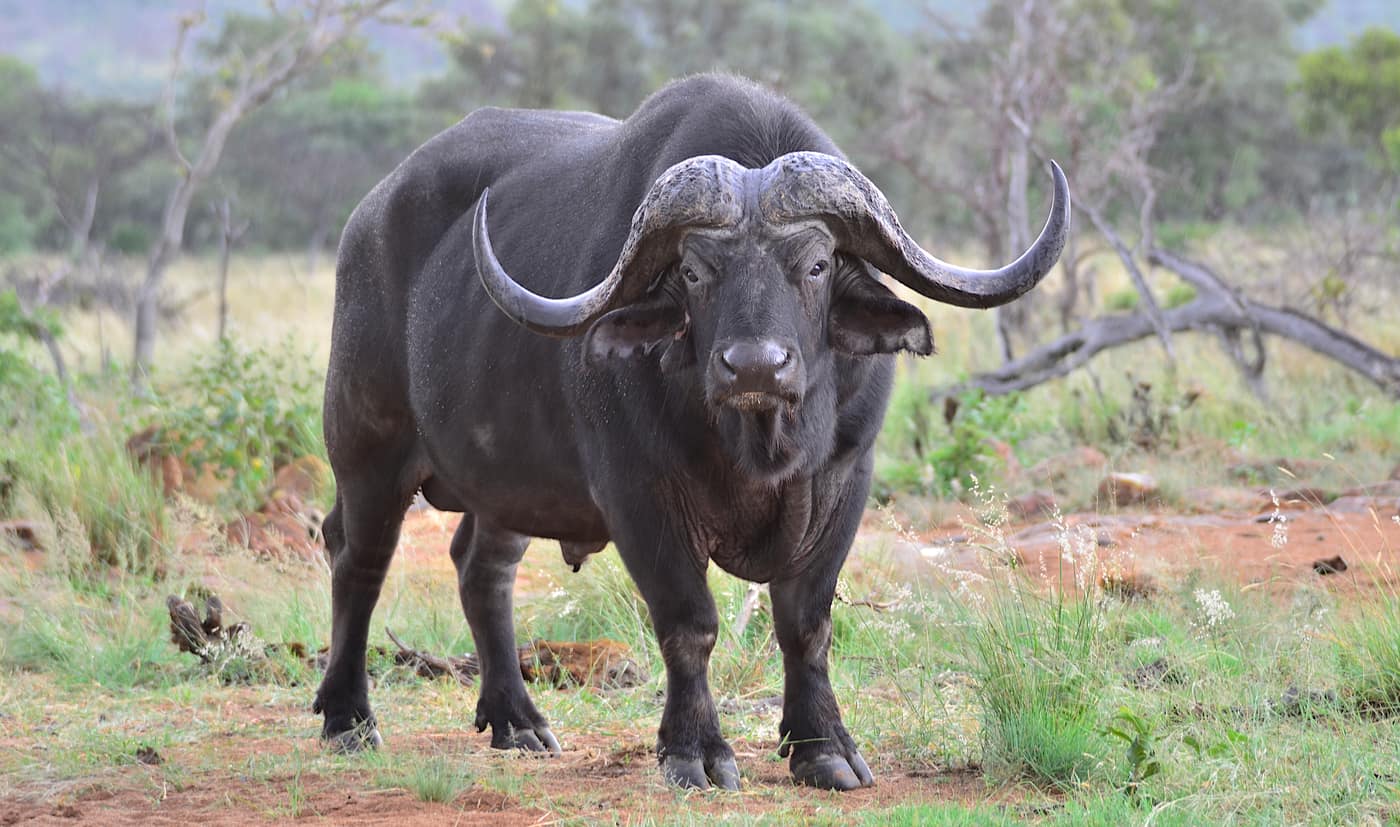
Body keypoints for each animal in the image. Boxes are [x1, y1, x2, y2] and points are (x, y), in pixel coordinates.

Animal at [314, 73, 1069, 792]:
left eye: (817, 263)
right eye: (696, 270)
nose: (755, 365)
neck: (756, 443)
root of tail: (367, 219)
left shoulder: (845, 482)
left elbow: (806, 623)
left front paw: (824, 748)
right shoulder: (639, 497)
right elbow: (689, 624)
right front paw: (694, 752)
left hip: (508, 483)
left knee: (480, 568)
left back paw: (517, 720)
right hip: (366, 445)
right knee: (358, 559)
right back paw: (348, 718)